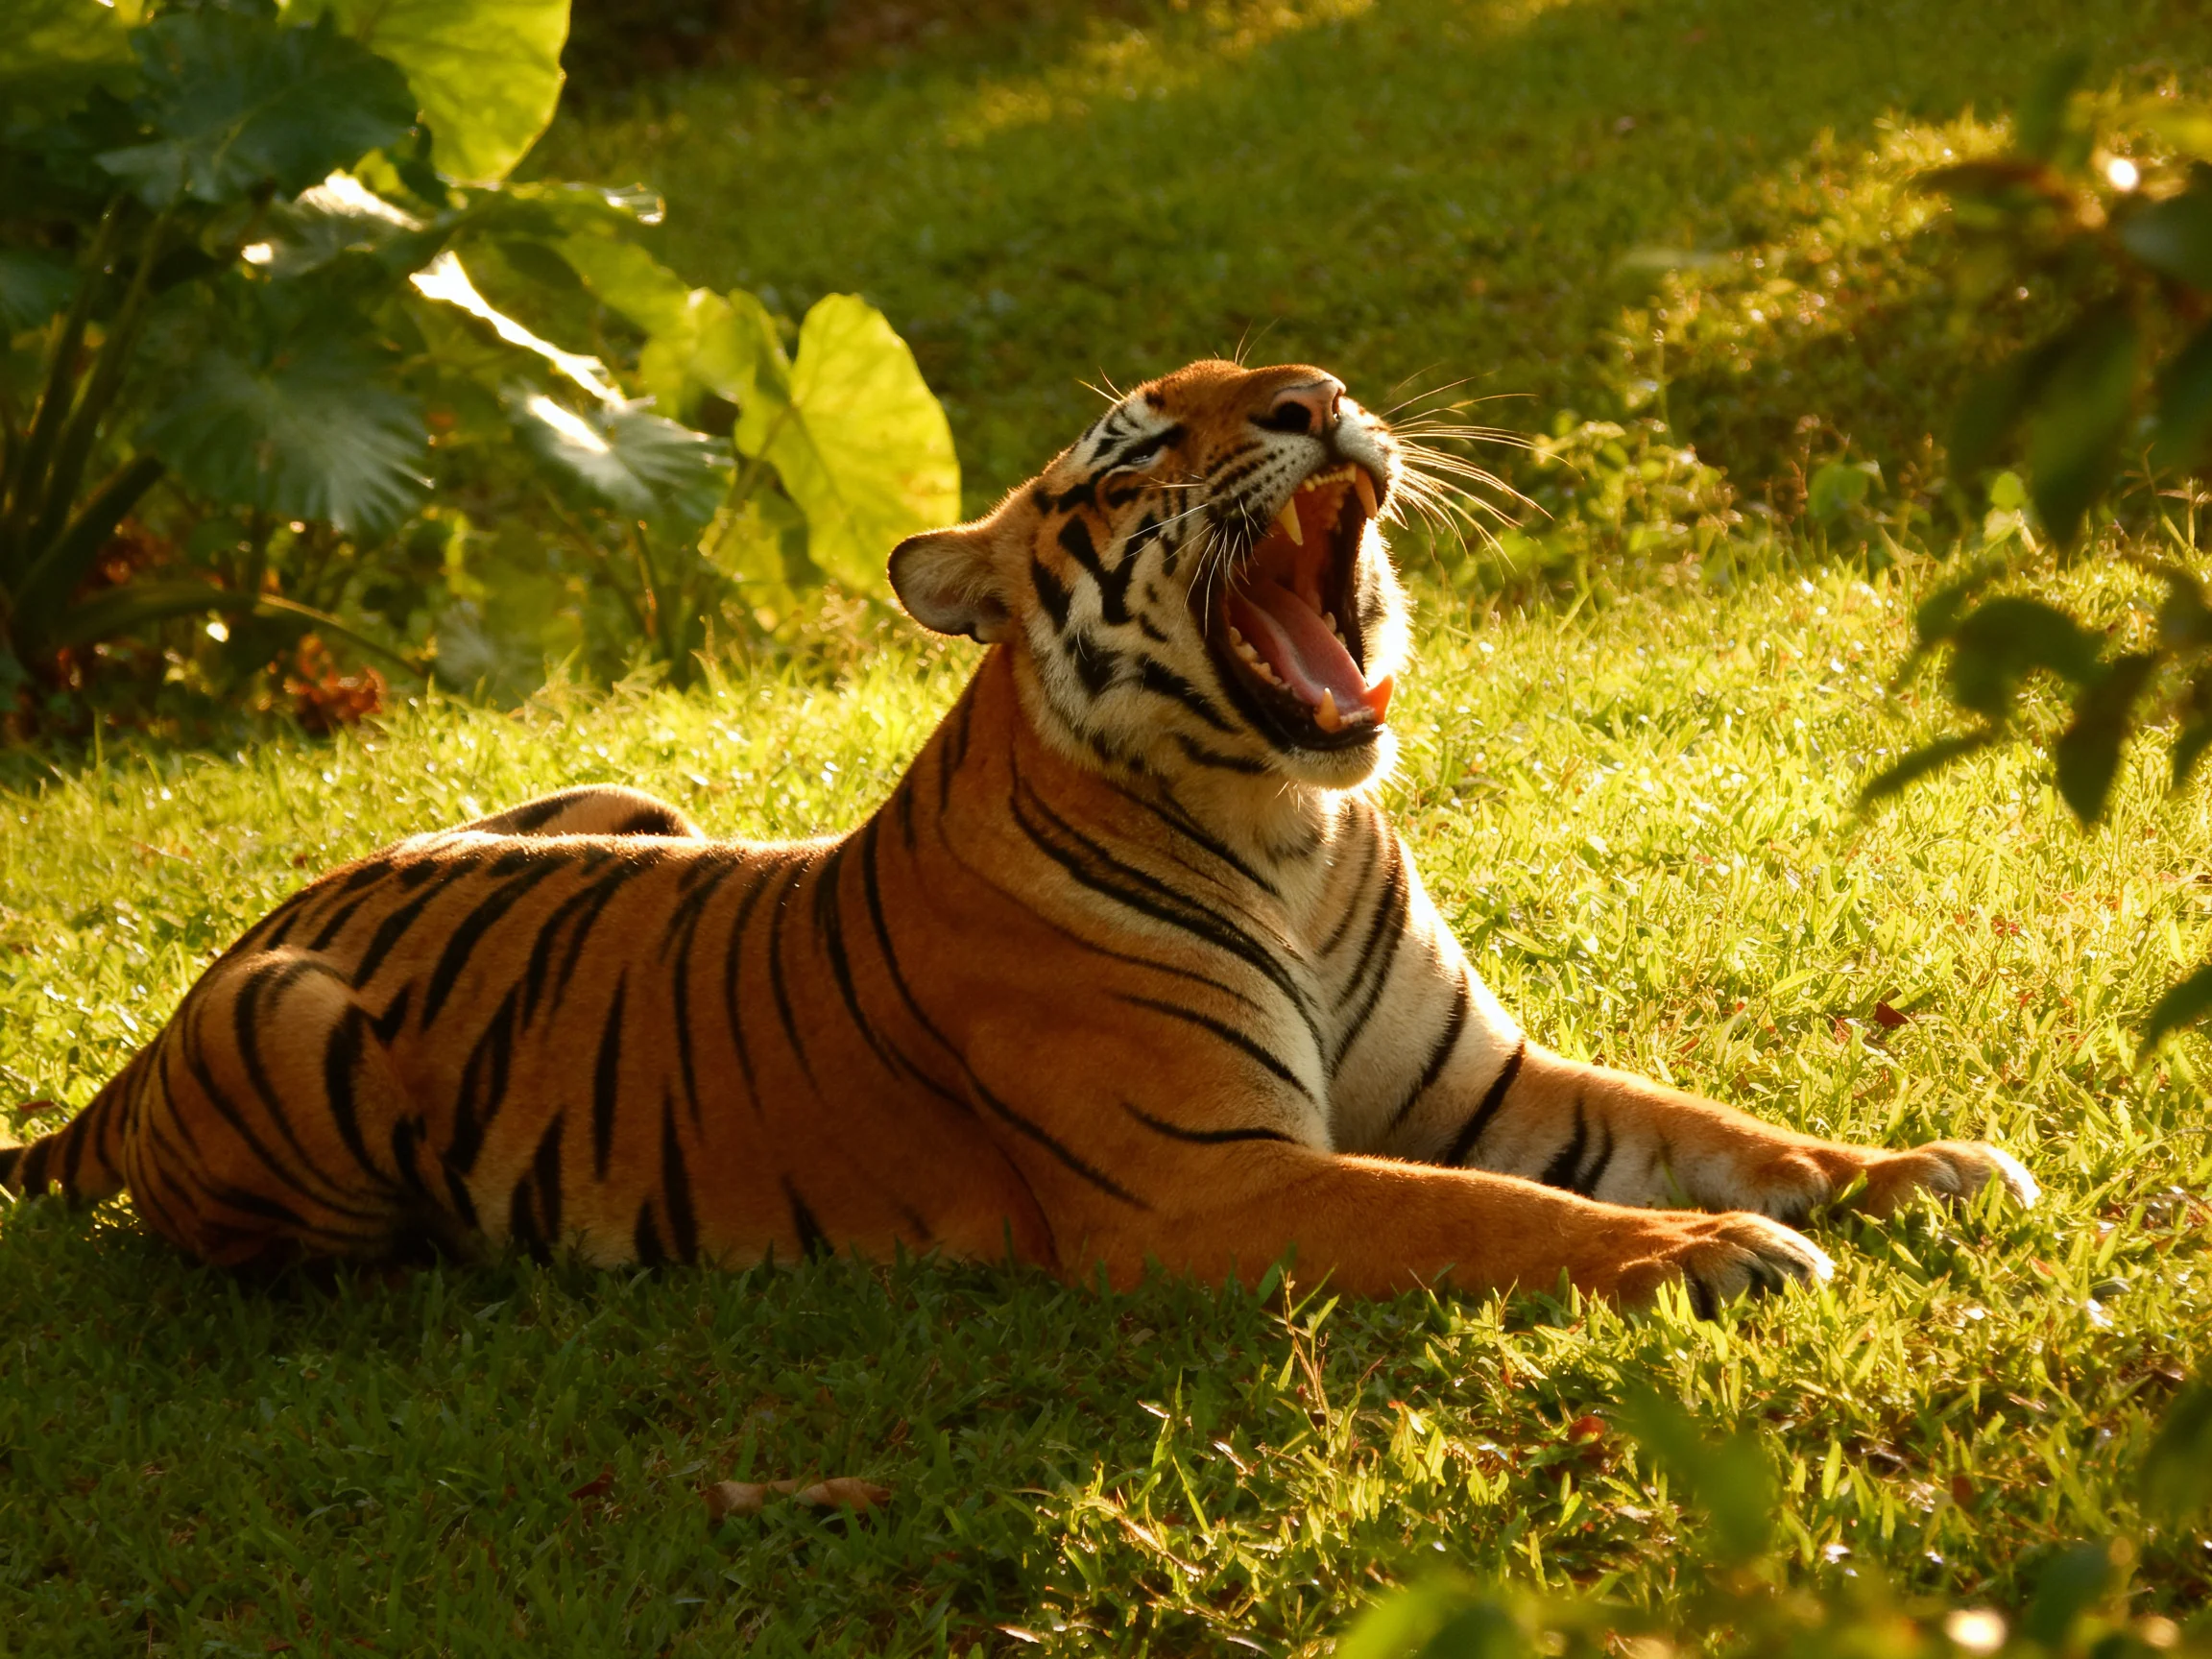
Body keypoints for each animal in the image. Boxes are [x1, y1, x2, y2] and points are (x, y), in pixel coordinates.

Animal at [0, 358, 2037, 1313]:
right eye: (1134, 451)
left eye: (1284, 379)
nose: (1314, 402)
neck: (1292, 828)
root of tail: (210, 961)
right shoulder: (1212, 1180)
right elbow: (1496, 1214)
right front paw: (1712, 1259)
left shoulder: (1483, 1078)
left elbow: (1718, 1121)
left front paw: (1921, 1170)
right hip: (293, 1025)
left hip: (615, 797)